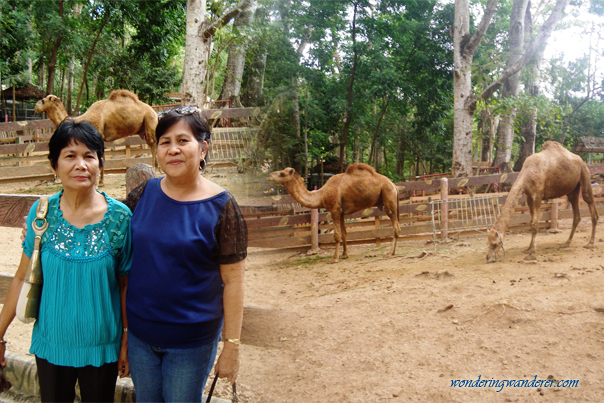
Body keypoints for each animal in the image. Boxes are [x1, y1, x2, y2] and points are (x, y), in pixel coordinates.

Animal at [268, 163, 402, 264]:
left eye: (282, 173)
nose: (269, 176)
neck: (321, 195)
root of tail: (394, 186)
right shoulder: (341, 212)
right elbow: (344, 233)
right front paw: (344, 255)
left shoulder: (334, 210)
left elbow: (336, 235)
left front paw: (334, 258)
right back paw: (393, 252)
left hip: (388, 195)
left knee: (396, 227)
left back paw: (390, 253)